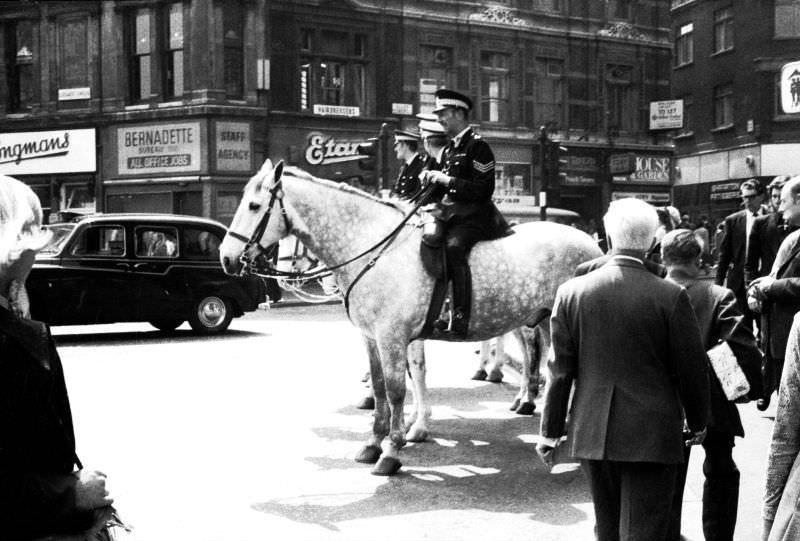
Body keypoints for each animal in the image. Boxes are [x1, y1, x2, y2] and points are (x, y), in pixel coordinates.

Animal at [219, 161, 600, 476]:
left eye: (254, 206)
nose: (226, 257)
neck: (374, 249)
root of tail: (592, 242)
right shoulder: (372, 338)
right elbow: (382, 387)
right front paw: (375, 442)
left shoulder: (393, 336)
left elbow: (398, 388)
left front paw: (393, 448)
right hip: (540, 318)